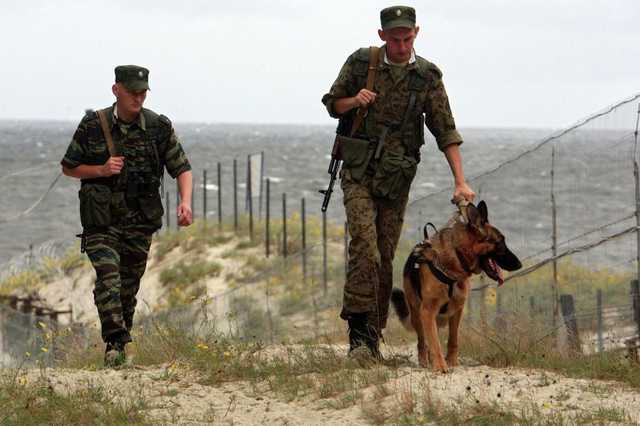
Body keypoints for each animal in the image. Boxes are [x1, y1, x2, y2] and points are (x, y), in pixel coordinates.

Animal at [390, 201, 520, 372]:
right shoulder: (428, 311)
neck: (456, 256)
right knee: (422, 341)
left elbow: (453, 339)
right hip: (417, 313)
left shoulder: (457, 310)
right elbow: (435, 342)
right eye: (500, 242)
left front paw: (452, 362)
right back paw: (425, 361)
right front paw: (440, 366)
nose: (519, 264)